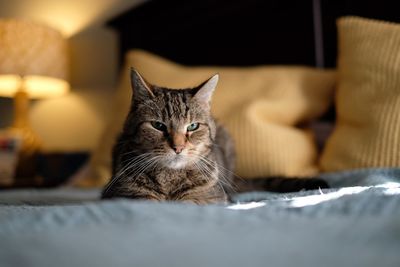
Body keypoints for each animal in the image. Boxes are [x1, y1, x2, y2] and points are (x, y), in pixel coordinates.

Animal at [101, 69, 328, 205]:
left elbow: (189, 202)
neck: (170, 178)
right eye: (158, 125)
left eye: (193, 126)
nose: (178, 147)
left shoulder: (213, 197)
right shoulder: (119, 195)